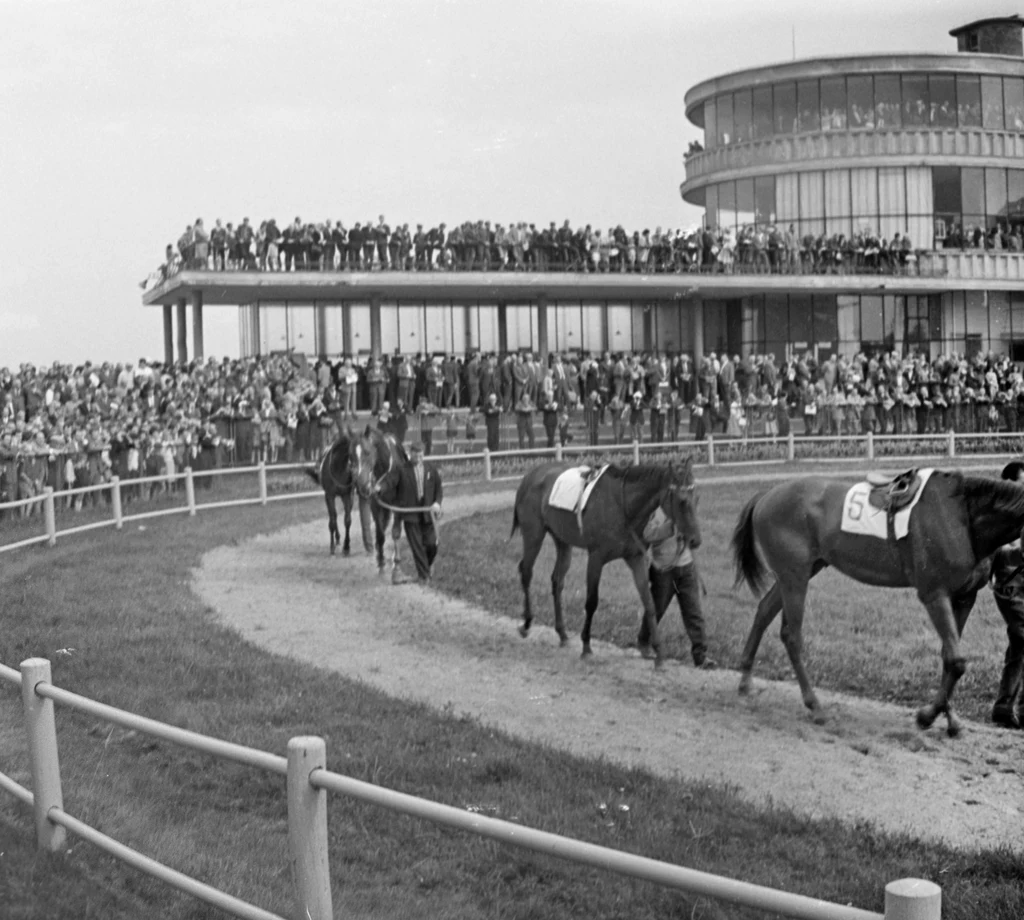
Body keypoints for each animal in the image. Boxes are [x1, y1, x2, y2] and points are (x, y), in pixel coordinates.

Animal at [352, 426, 407, 577]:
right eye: (353, 455)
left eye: (367, 452)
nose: (361, 484)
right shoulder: (375, 505)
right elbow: (380, 533)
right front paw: (381, 562)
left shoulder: (398, 505)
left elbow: (396, 532)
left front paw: (396, 566)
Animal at [507, 454, 700, 663]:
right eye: (682, 500)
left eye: (696, 498)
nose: (695, 540)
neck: (623, 506)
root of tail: (530, 476)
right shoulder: (596, 558)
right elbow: (592, 602)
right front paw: (586, 646)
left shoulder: (636, 558)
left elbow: (649, 603)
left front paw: (658, 654)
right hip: (534, 534)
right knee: (526, 572)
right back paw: (527, 623)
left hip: (562, 541)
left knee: (557, 581)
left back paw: (562, 634)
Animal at [729, 469, 1024, 733]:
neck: (963, 516)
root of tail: (767, 495)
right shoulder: (934, 594)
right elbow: (956, 659)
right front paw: (927, 715)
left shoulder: (964, 597)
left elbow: (949, 656)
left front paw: (949, 717)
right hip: (794, 575)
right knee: (791, 636)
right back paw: (815, 706)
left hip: (800, 571)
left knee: (764, 611)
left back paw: (745, 680)